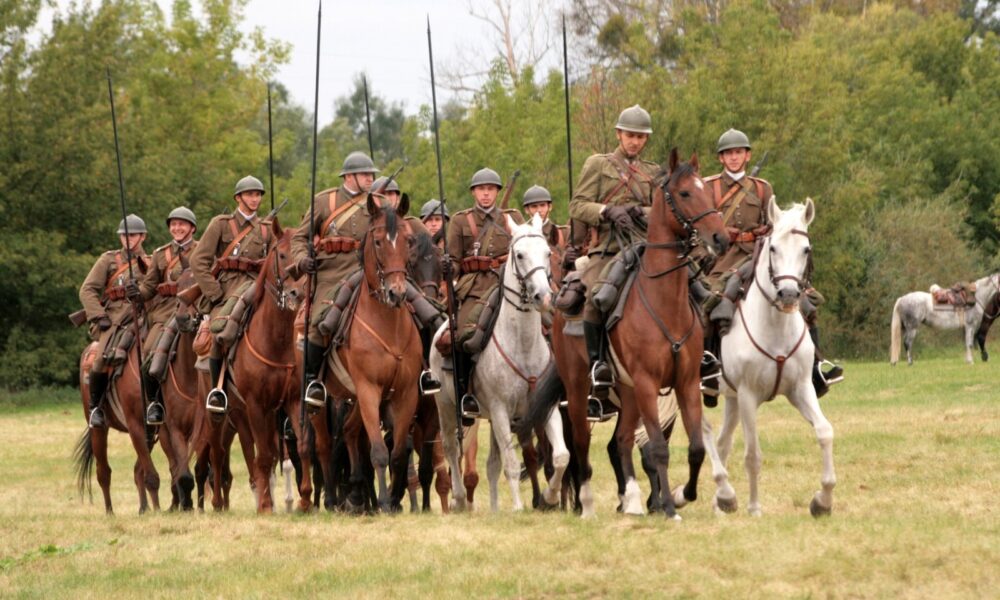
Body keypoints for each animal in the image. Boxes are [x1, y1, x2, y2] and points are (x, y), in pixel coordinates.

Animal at [74, 336, 161, 512]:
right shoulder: (136, 426)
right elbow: (150, 474)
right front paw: (159, 511)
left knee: (137, 471)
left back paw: (144, 508)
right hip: (99, 430)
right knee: (103, 473)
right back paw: (110, 512)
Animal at [432, 214, 572, 510]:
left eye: (547, 253)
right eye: (519, 255)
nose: (544, 296)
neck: (524, 345)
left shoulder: (546, 407)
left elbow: (560, 456)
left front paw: (550, 497)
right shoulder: (499, 410)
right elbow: (511, 462)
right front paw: (519, 507)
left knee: (491, 463)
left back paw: (495, 509)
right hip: (447, 406)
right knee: (450, 447)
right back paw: (459, 498)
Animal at [516, 150, 728, 520]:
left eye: (707, 190)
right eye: (685, 193)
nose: (720, 238)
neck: (664, 302)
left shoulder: (686, 383)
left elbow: (696, 448)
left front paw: (682, 494)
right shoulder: (647, 383)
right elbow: (657, 449)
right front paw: (669, 507)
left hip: (627, 395)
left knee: (621, 441)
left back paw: (630, 500)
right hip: (579, 389)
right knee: (582, 445)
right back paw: (586, 505)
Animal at [696, 199, 836, 516]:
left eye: (806, 249)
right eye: (773, 248)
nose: (788, 294)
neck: (775, 327)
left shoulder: (801, 389)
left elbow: (824, 432)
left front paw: (822, 500)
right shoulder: (748, 395)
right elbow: (753, 455)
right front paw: (754, 508)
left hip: (731, 398)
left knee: (721, 441)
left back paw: (720, 500)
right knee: (703, 432)